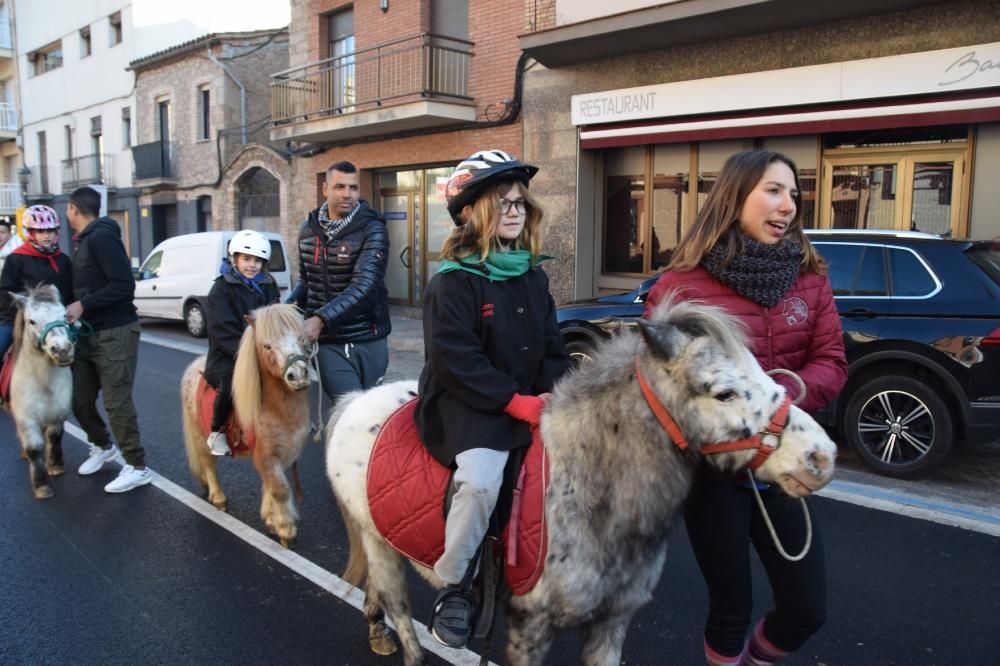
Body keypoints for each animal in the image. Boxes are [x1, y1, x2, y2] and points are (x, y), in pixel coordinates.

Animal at [180, 304, 310, 544]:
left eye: (301, 338)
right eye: (267, 345)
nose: (298, 375)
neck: (276, 408)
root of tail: (193, 367)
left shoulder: (286, 452)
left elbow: (271, 484)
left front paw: (269, 519)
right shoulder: (265, 453)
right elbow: (279, 489)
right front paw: (286, 531)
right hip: (200, 436)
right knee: (208, 464)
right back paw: (218, 498)